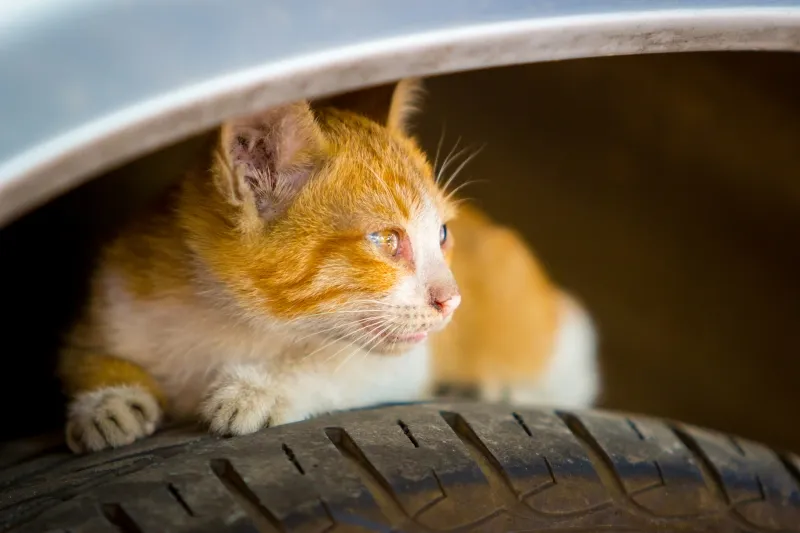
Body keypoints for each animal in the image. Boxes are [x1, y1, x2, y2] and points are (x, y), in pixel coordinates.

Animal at [59, 79, 596, 454]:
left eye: (443, 234)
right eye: (386, 240)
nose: (452, 299)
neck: (235, 323)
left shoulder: (407, 361)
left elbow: (340, 366)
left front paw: (260, 389)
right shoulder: (116, 289)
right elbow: (78, 353)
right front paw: (108, 400)